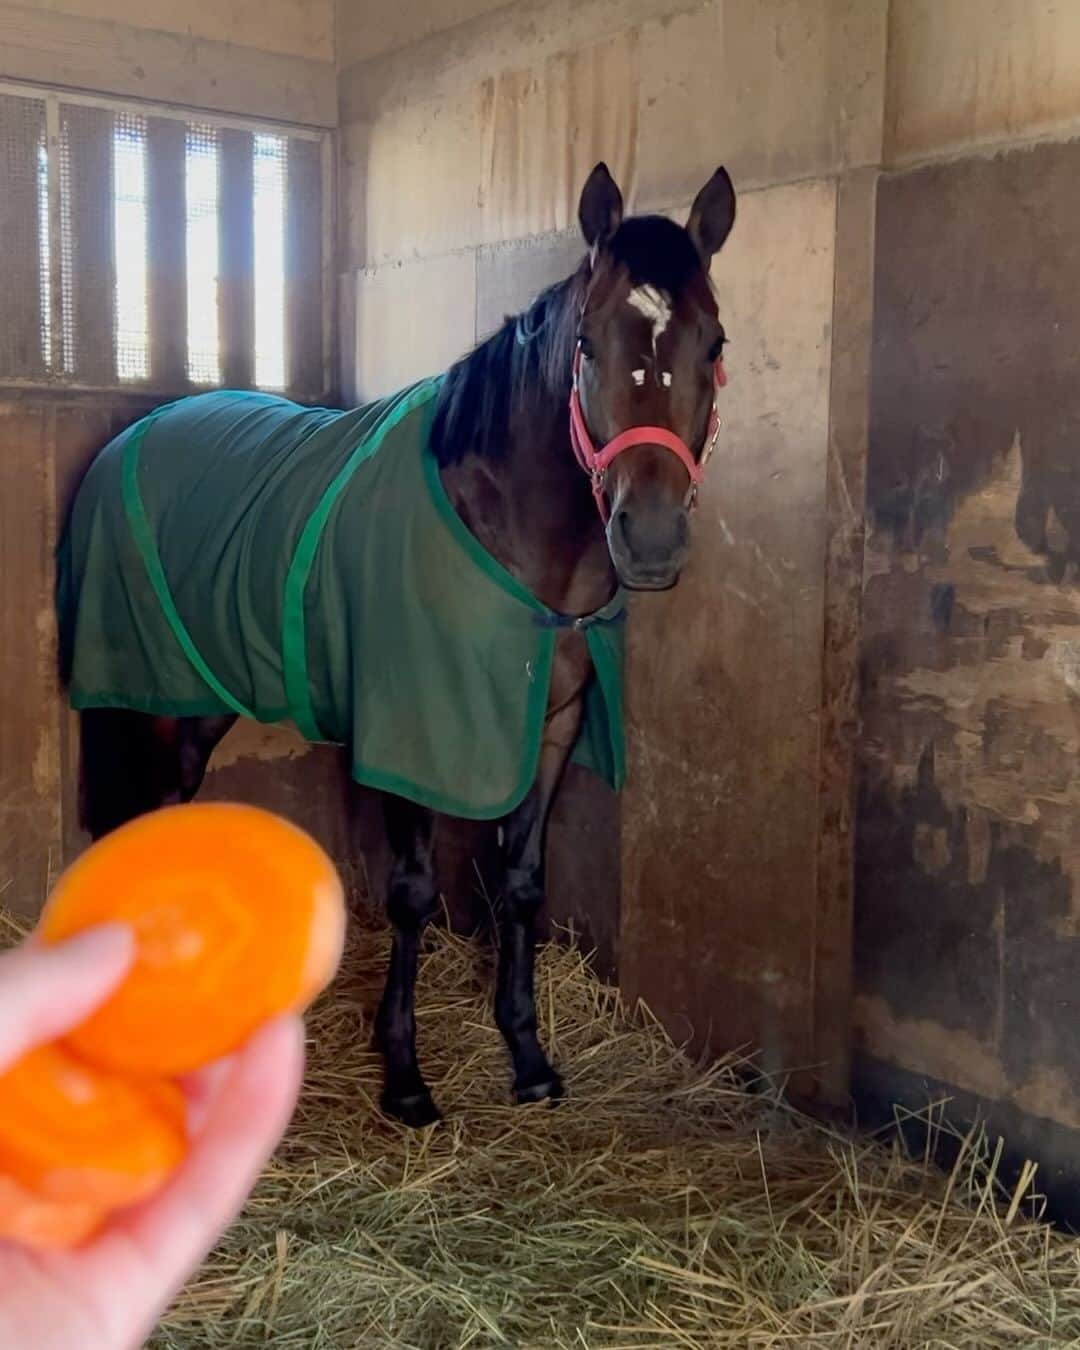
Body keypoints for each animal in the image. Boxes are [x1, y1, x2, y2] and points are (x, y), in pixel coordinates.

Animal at [57, 160, 734, 1128]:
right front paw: (406, 1076)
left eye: (713, 344)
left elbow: (522, 884)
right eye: (588, 344)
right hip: (150, 697)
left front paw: (528, 1056)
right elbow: (413, 895)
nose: (647, 538)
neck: (509, 540)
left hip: (201, 699)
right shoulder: (410, 732)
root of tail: (135, 433)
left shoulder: (551, 728)